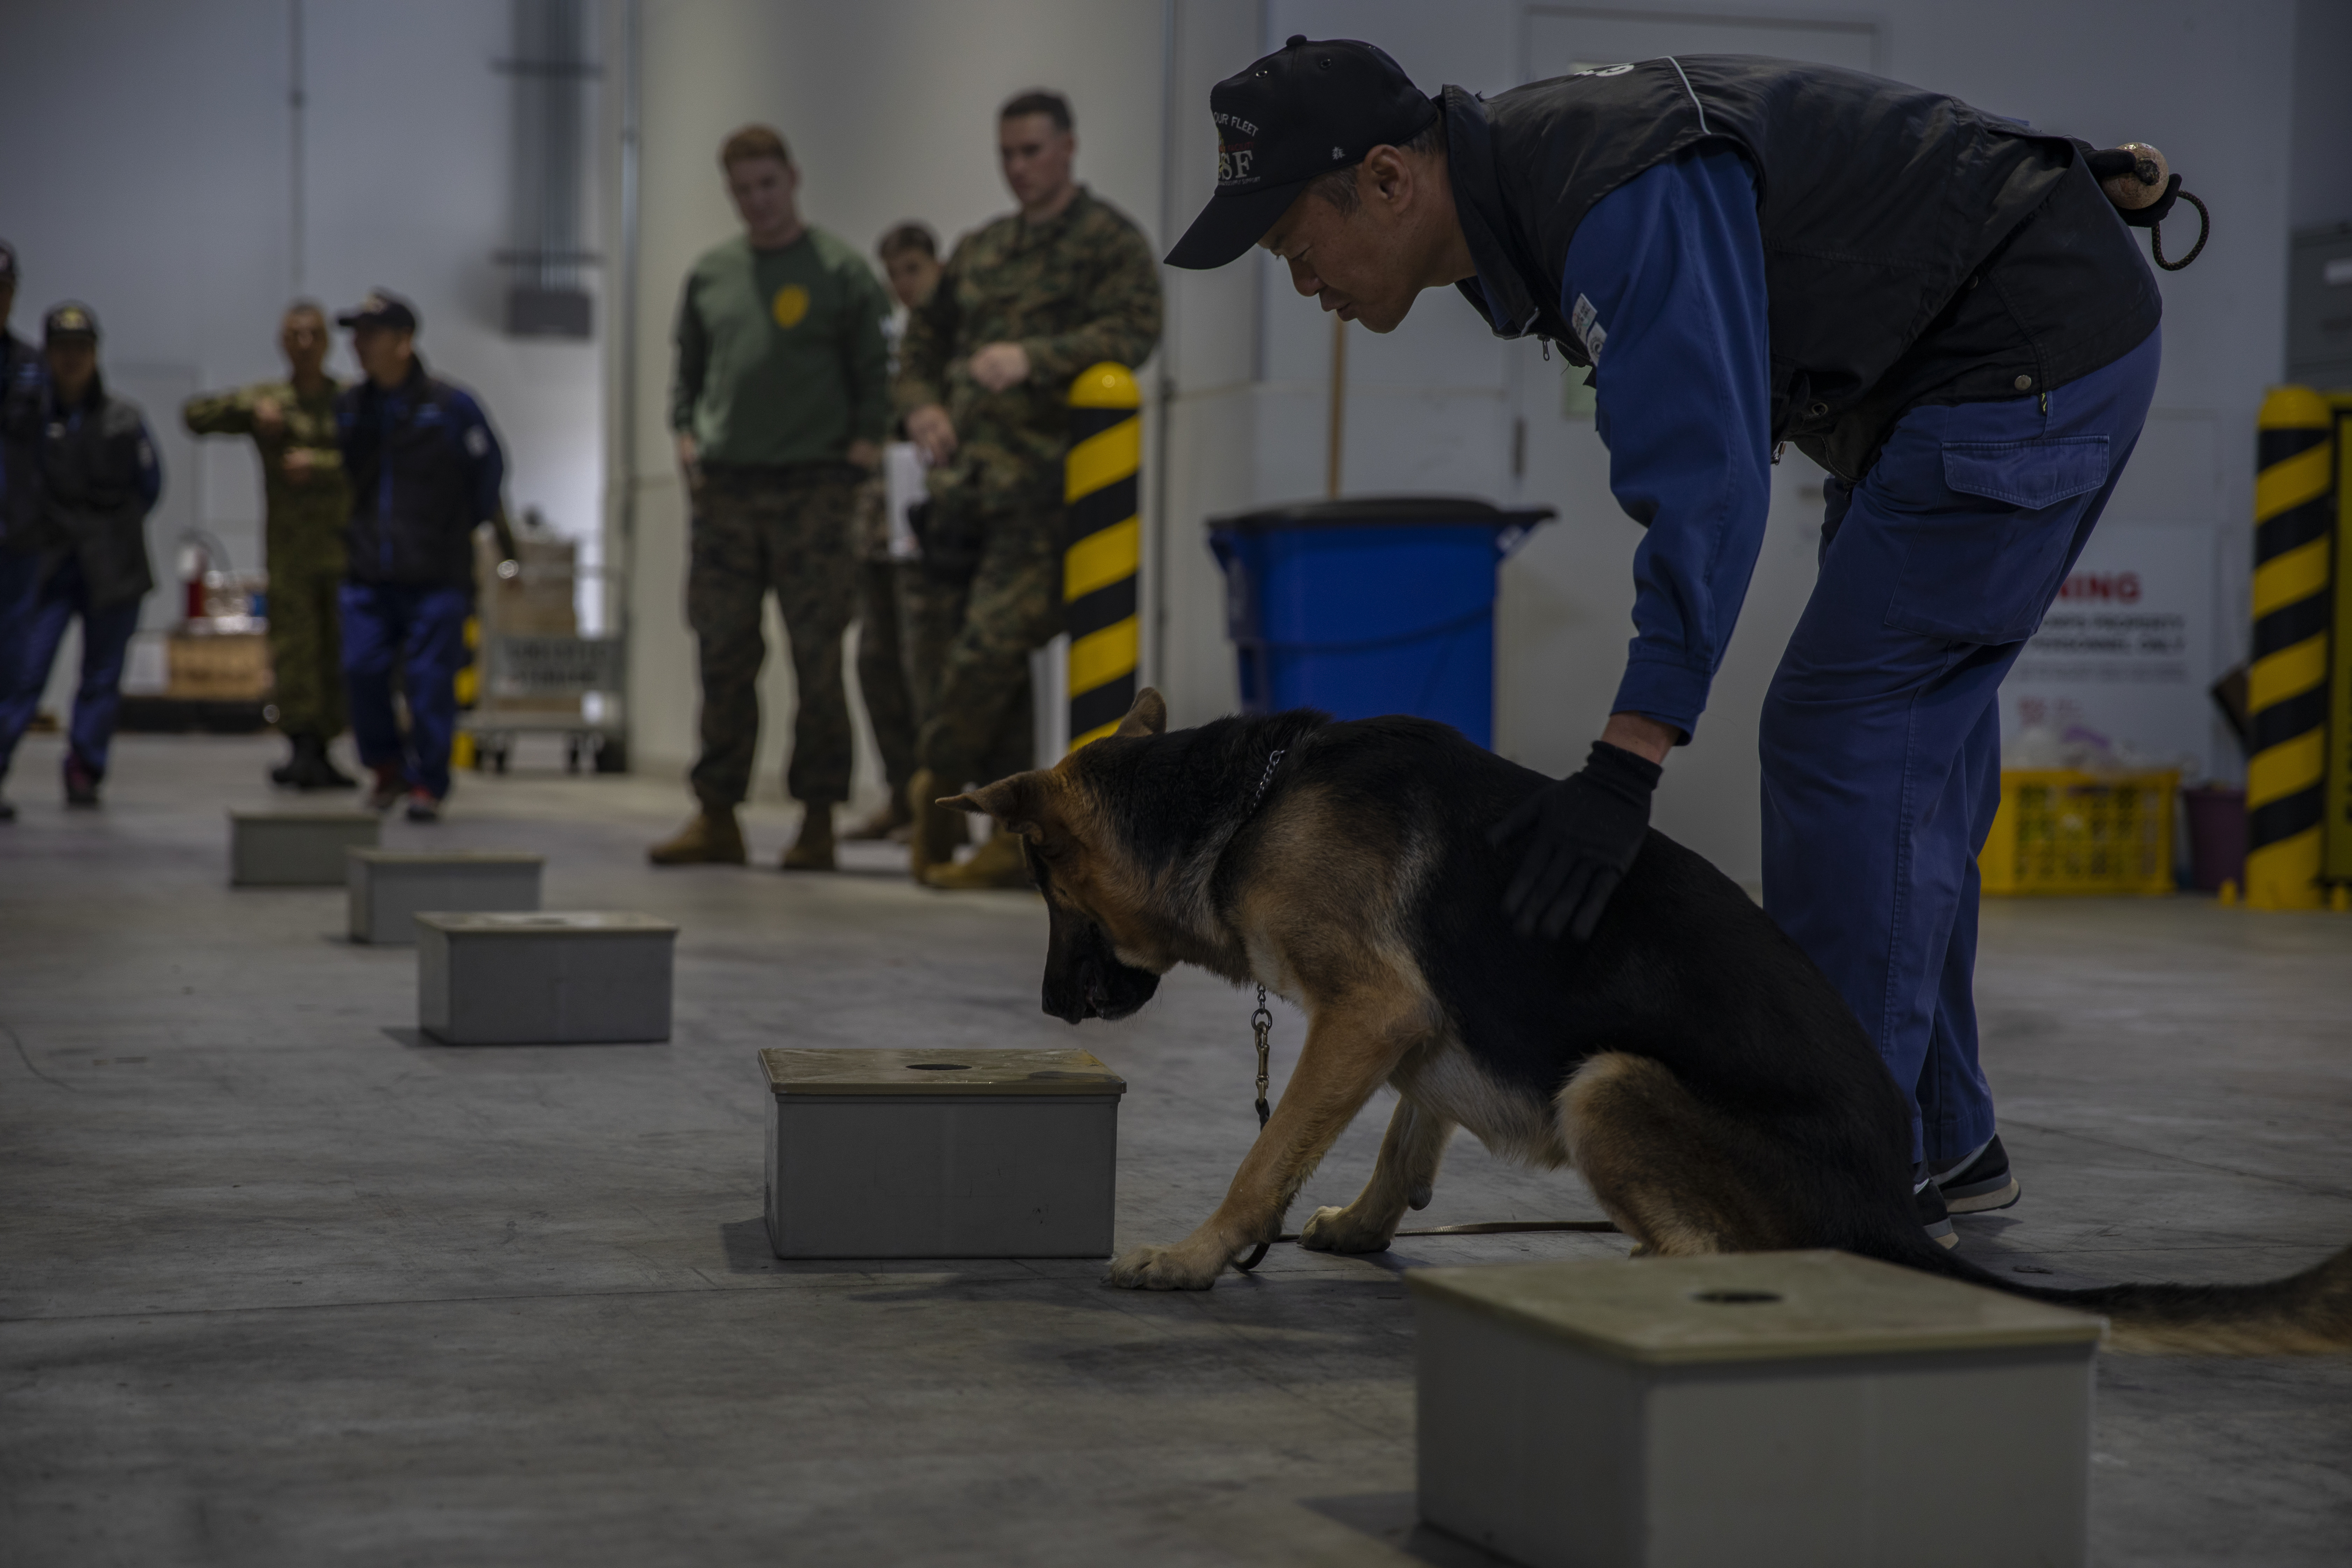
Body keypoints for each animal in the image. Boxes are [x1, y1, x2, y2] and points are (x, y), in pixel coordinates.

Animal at [950, 691, 2352, 1354]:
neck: (1247, 796)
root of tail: (1889, 1213)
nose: (1046, 1004)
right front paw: (1358, 1222)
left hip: (1609, 1081)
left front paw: (1198, 1253)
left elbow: (1266, 1152)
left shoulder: (1362, 1007)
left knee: (1704, 1252)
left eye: (1046, 889)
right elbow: (1411, 1124)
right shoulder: (1415, 1016)